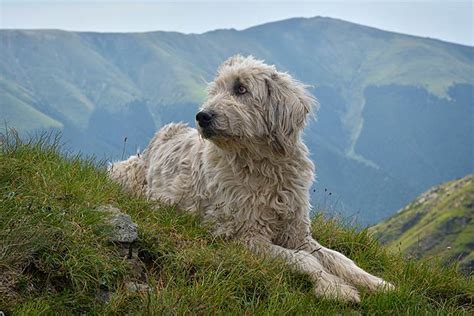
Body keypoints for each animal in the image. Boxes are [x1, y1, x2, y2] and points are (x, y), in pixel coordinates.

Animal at [110, 55, 392, 302]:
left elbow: (339, 258)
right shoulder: (243, 237)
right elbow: (305, 260)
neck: (266, 169)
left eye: (241, 89)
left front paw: (376, 283)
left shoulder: (298, 234)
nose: (202, 116)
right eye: (215, 90)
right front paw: (334, 288)